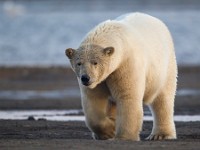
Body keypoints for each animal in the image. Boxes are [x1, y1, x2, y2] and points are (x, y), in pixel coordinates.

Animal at [65, 12, 177, 141]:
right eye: (79, 63)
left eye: (95, 62)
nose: (85, 78)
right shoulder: (99, 81)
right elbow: (94, 101)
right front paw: (109, 131)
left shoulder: (126, 65)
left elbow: (127, 97)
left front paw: (123, 136)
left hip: (164, 68)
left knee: (163, 99)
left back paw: (160, 135)